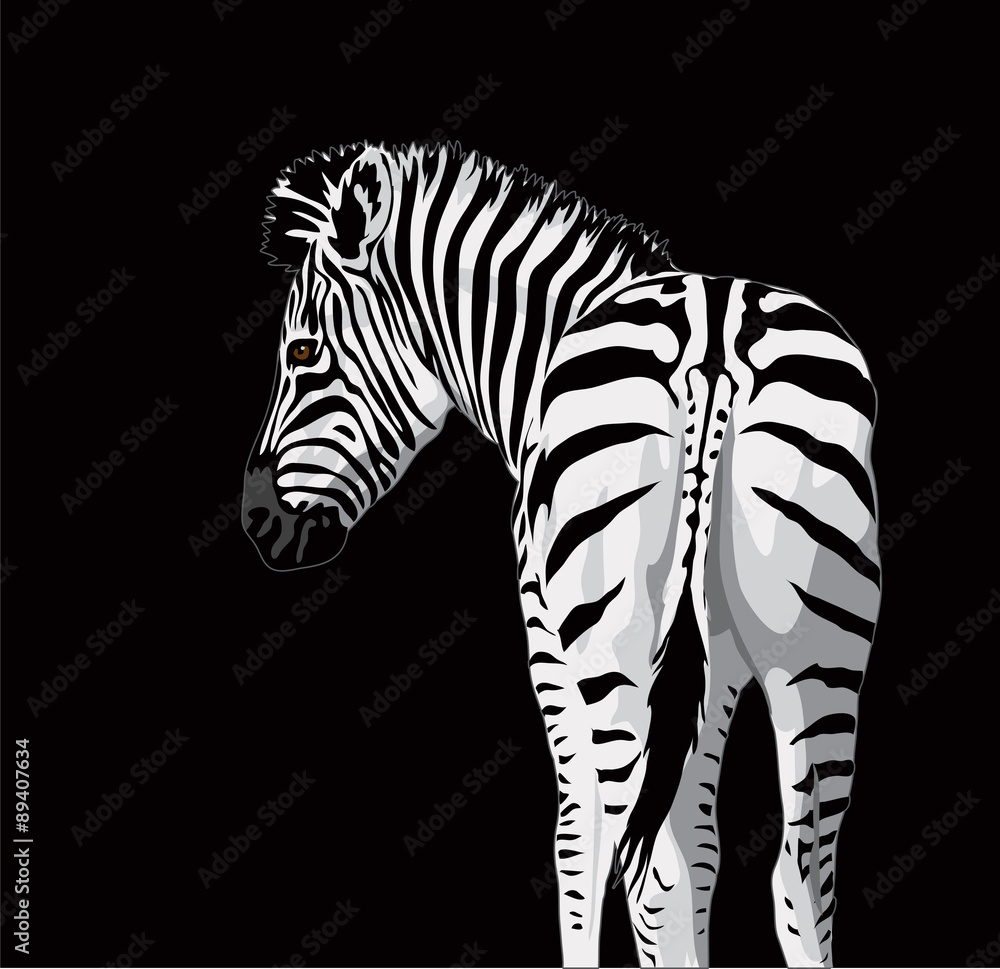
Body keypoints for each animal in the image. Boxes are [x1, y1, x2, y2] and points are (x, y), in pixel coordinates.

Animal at [242, 141, 880, 968]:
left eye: (302, 350)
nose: (255, 520)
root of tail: (713, 340)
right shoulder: (716, 665)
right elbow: (700, 851)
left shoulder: (550, 639)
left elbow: (579, 842)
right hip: (821, 641)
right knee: (801, 873)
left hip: (620, 648)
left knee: (654, 873)